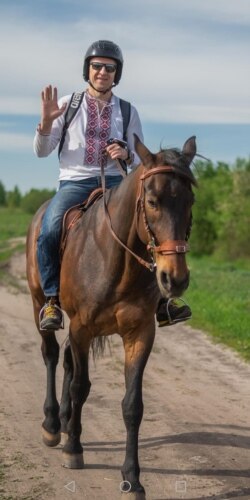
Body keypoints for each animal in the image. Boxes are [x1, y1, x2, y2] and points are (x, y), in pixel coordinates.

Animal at [25, 135, 197, 498]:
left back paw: (65, 420)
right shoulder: (81, 327)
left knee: (66, 360)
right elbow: (81, 386)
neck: (115, 260)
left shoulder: (140, 334)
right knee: (51, 355)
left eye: (190, 200)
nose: (174, 279)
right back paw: (53, 425)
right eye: (152, 201)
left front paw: (132, 478)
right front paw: (74, 450)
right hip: (39, 305)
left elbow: (133, 406)